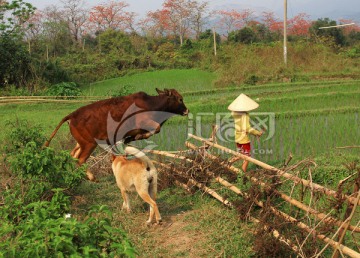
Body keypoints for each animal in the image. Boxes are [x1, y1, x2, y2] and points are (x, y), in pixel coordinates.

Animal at [44, 87, 188, 180]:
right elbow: (157, 128)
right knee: (80, 159)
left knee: (73, 155)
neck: (151, 105)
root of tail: (72, 115)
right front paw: (140, 136)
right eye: (180, 99)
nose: (187, 111)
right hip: (89, 144)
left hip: (81, 142)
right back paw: (91, 177)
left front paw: (134, 138)